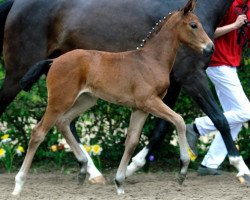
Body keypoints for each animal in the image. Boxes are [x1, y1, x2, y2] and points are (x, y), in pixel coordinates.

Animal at [13, 0, 213, 195]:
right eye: (194, 25)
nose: (210, 47)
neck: (151, 60)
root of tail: (54, 61)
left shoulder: (140, 108)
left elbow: (131, 141)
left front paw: (119, 183)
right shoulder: (150, 101)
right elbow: (179, 120)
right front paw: (182, 170)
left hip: (85, 100)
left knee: (63, 122)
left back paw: (83, 169)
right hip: (59, 101)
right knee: (38, 132)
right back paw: (19, 185)